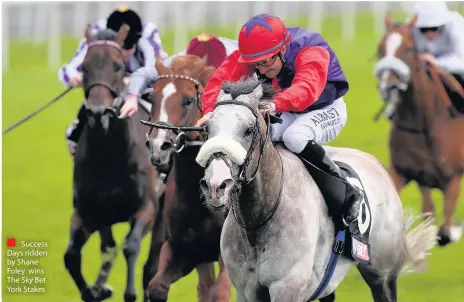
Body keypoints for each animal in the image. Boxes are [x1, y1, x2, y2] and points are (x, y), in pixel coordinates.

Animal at [143, 54, 232, 302]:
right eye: (151, 97)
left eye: (188, 100)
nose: (158, 147)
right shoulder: (183, 250)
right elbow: (156, 287)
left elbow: (220, 293)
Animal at [196, 76, 438, 300]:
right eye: (207, 128)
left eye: (248, 130)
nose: (216, 185)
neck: (260, 217)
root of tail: (377, 164)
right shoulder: (247, 291)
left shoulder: (287, 288)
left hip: (381, 273)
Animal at [374, 13, 464, 247]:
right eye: (381, 47)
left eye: (408, 48)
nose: (389, 84)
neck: (421, 123)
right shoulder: (400, 170)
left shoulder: (453, 179)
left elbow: (444, 233)